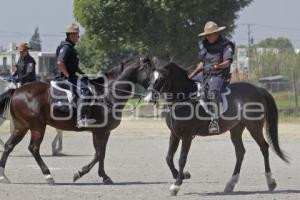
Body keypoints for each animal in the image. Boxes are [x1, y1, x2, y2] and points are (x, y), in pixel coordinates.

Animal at [0, 55, 155, 184]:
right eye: (151, 72)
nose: (153, 95)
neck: (106, 93)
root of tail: (16, 91)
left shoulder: (103, 132)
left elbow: (101, 153)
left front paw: (104, 176)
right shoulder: (100, 132)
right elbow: (99, 153)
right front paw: (80, 173)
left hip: (22, 126)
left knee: (9, 146)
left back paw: (3, 176)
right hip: (37, 127)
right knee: (33, 148)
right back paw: (48, 175)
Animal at [144, 62, 290, 195]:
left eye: (161, 79)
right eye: (150, 77)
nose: (147, 99)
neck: (184, 99)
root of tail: (258, 90)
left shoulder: (187, 136)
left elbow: (181, 159)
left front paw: (176, 185)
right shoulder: (174, 134)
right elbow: (168, 158)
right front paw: (183, 175)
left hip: (254, 126)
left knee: (264, 147)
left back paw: (270, 182)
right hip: (236, 129)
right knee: (240, 152)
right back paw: (230, 184)